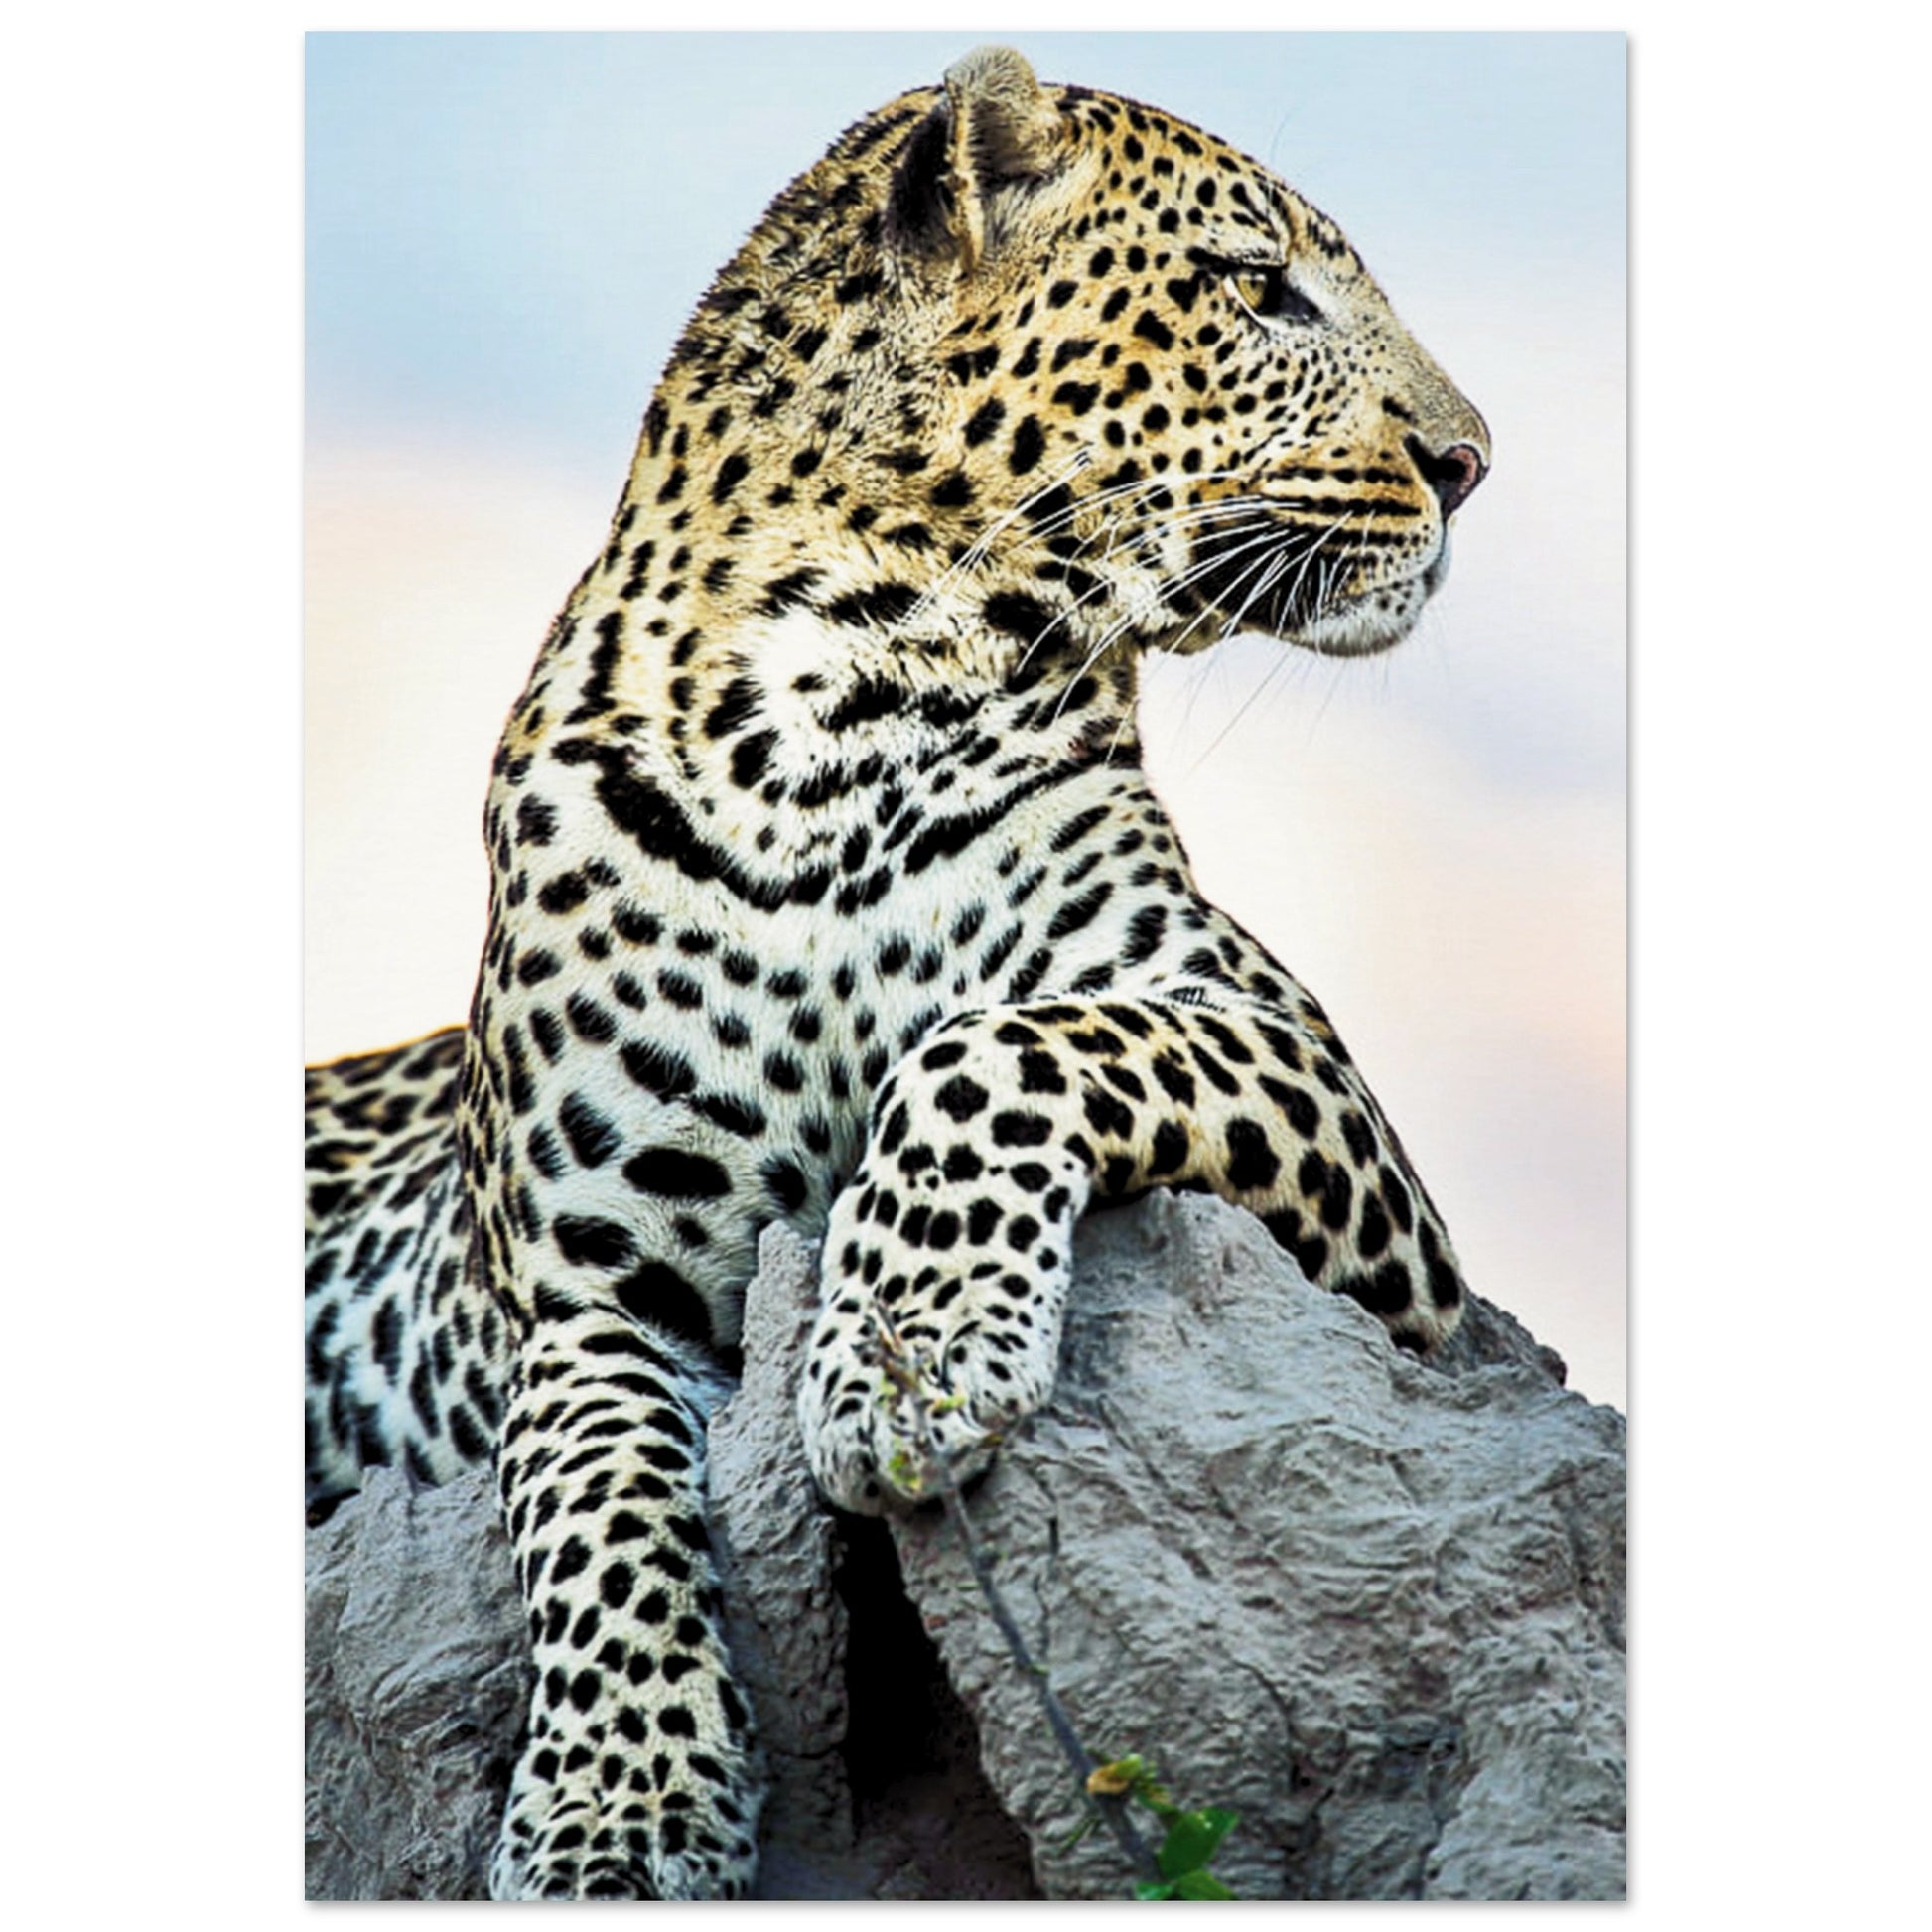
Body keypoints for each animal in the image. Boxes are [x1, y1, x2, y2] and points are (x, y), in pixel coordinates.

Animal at [305, 45, 1490, 1902]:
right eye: (1258, 285)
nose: (1471, 462)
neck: (830, 712)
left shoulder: (1329, 1125)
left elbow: (1002, 1040)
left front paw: (906, 1354)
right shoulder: (574, 1291)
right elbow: (595, 1502)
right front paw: (617, 1810)